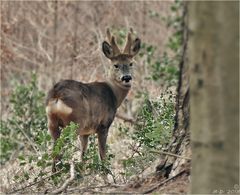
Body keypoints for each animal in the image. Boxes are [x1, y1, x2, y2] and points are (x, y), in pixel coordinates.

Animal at [45, 28, 141, 171]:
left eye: (131, 63)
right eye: (116, 65)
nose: (126, 77)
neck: (113, 94)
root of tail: (57, 94)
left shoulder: (85, 133)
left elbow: (83, 156)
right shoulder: (103, 125)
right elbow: (103, 156)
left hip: (52, 123)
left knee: (54, 150)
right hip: (75, 122)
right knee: (60, 149)